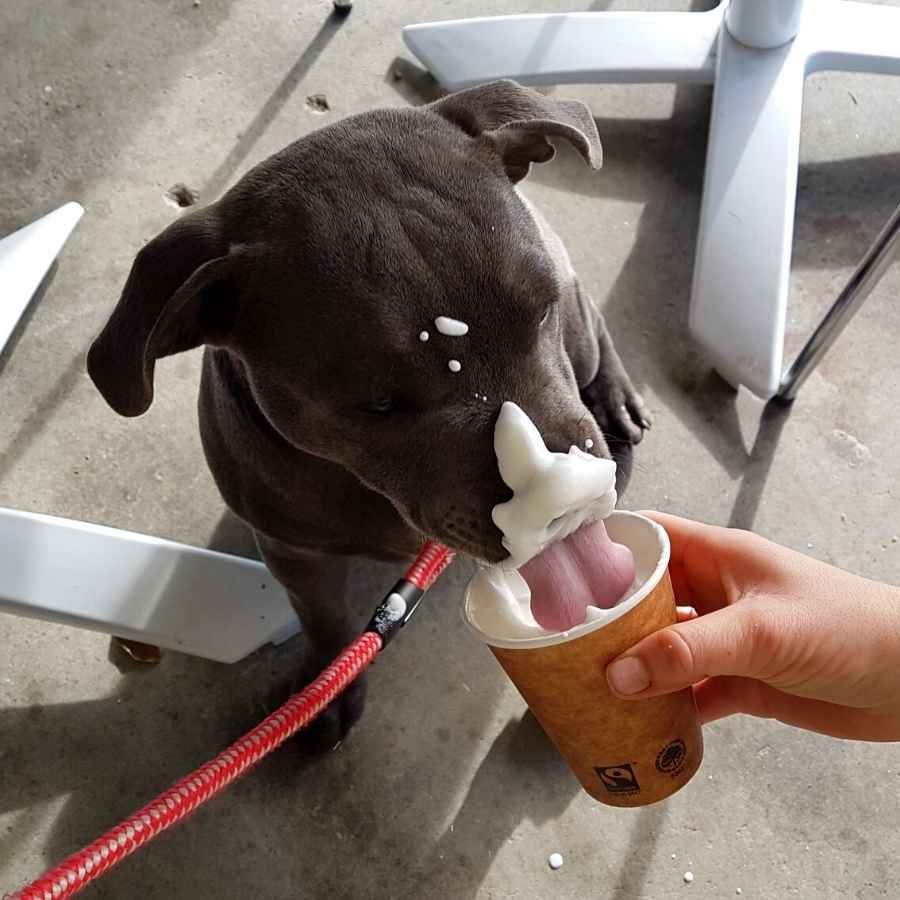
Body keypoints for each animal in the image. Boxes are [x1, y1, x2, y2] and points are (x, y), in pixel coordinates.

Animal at [88, 82, 648, 744]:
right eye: (378, 401)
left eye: (539, 312)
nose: (568, 501)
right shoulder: (292, 550)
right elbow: (325, 620)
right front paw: (324, 693)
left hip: (580, 326)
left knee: (596, 322)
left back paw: (616, 402)